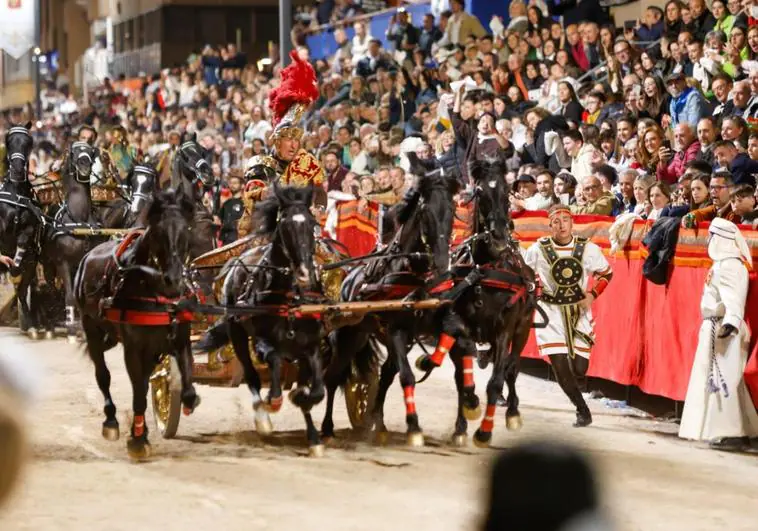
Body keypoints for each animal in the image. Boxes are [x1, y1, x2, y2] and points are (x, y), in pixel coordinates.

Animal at [72, 189, 199, 460]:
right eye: (158, 232)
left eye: (186, 230)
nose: (173, 280)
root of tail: (89, 254)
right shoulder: (133, 348)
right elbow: (138, 393)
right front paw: (138, 440)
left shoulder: (179, 340)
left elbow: (186, 387)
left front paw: (186, 403)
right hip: (92, 328)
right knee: (103, 375)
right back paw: (111, 421)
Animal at [220, 184, 326, 458]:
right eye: (285, 225)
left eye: (312, 223)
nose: (304, 272)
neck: (289, 297)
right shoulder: (262, 341)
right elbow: (274, 363)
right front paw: (273, 402)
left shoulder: (312, 346)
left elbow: (317, 390)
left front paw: (302, 401)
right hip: (236, 333)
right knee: (252, 376)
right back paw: (263, 418)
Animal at [318, 156, 466, 446]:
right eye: (426, 212)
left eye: (452, 210)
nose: (443, 262)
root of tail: (348, 278)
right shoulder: (396, 330)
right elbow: (406, 376)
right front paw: (414, 426)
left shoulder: (432, 322)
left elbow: (453, 333)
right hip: (349, 336)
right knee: (334, 376)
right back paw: (328, 428)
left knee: (385, 374)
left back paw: (379, 423)